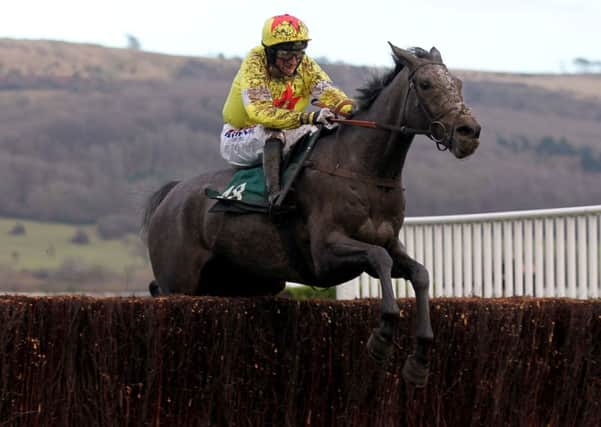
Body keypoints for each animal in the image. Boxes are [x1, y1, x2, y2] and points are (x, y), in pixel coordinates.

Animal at [143, 43, 480, 388]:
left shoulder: (390, 242)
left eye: (458, 83)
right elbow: (379, 259)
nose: (469, 132)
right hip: (179, 281)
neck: (360, 168)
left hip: (240, 282)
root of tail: (171, 194)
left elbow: (420, 273)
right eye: (426, 84)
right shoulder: (325, 254)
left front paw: (419, 361)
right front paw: (382, 336)